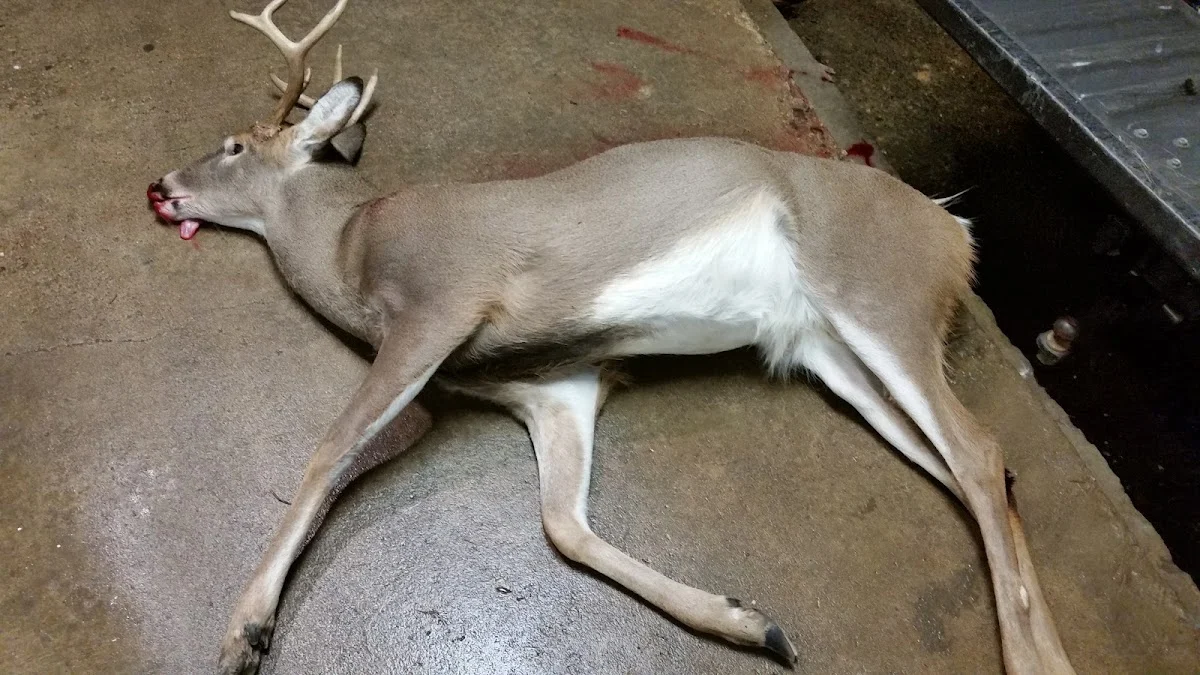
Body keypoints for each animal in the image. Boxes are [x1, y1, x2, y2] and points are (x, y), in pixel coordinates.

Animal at [146, 1, 1077, 673]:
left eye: (233, 144)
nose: (159, 185)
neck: (351, 248)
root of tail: (953, 231)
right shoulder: (559, 384)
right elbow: (564, 524)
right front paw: (750, 622)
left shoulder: (440, 304)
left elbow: (327, 451)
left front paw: (244, 630)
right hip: (832, 355)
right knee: (979, 473)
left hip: (877, 297)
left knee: (978, 449)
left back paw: (1033, 661)